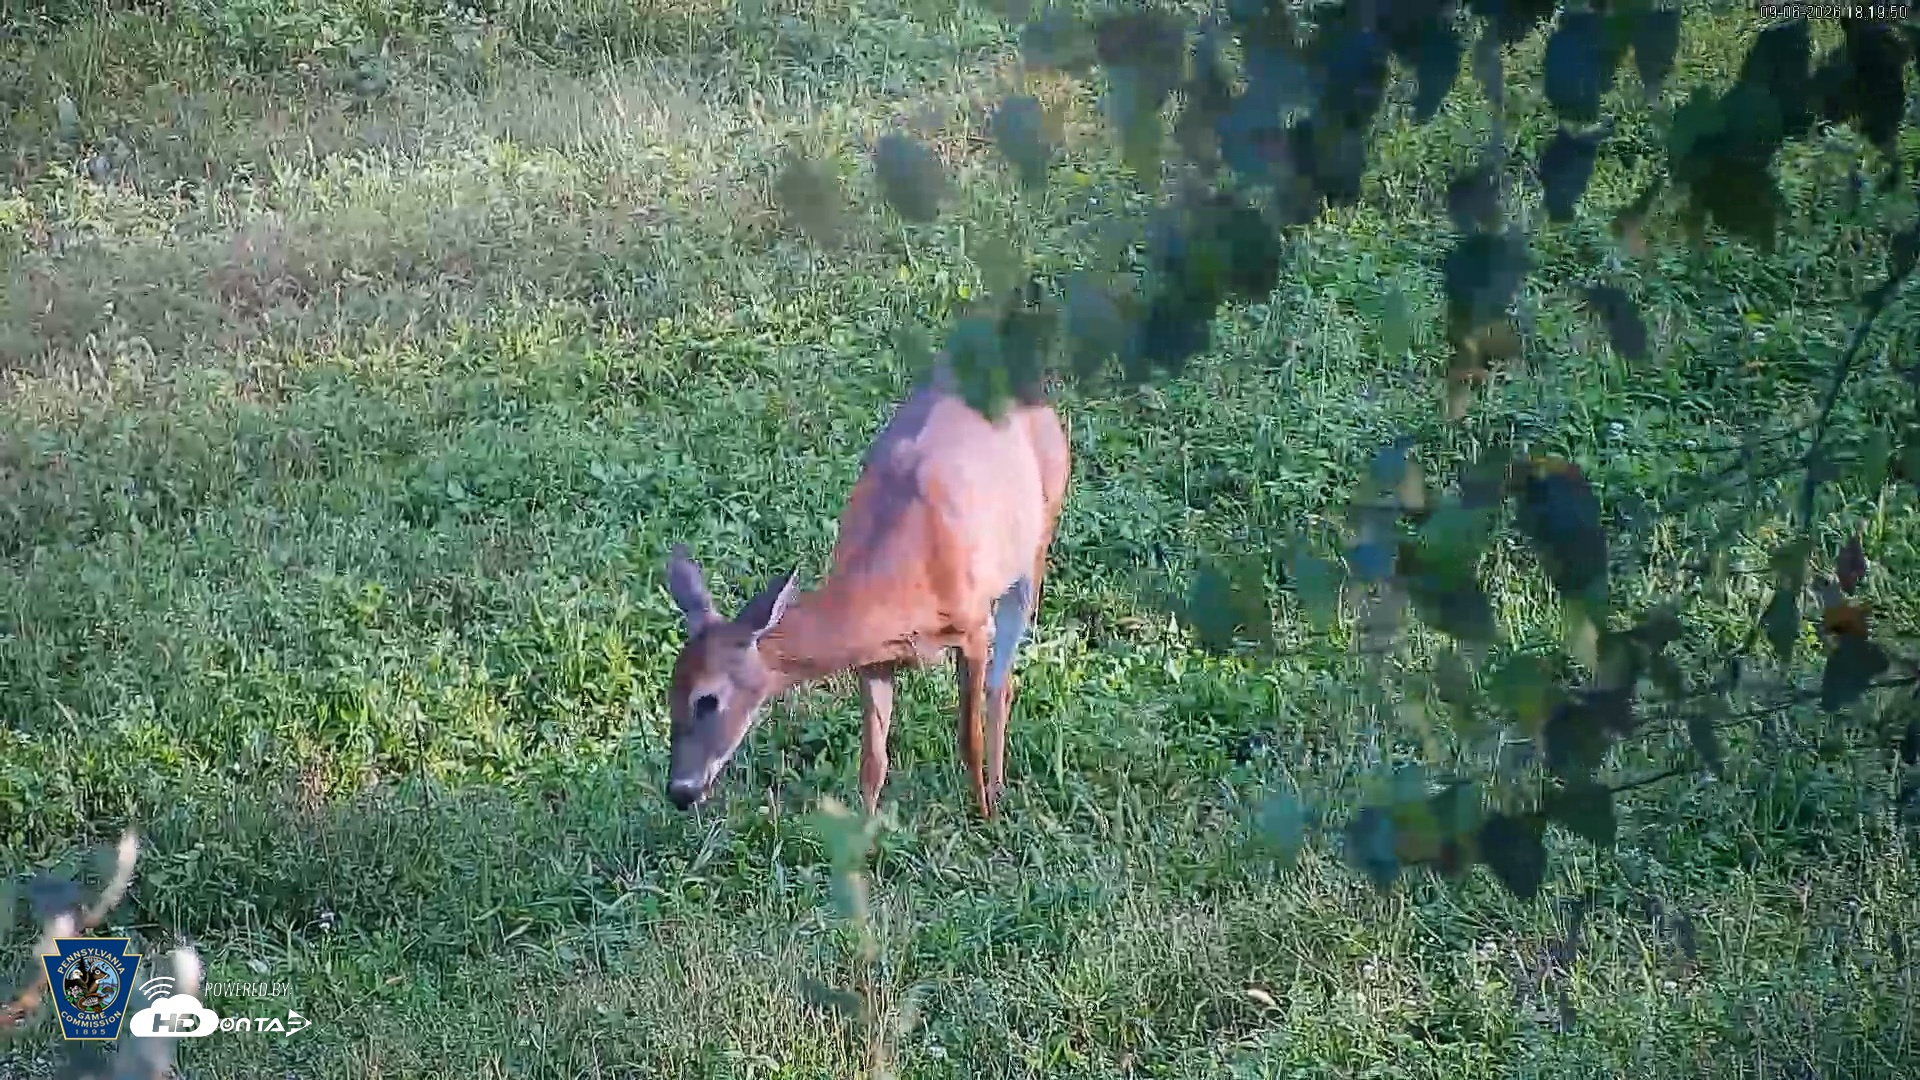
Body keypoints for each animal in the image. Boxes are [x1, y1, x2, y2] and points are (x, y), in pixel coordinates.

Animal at [660, 363, 1071, 820]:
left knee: (1003, 682)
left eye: (707, 700)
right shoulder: (874, 660)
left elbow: (969, 738)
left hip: (1037, 542)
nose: (679, 791)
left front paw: (982, 815)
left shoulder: (973, 628)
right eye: (669, 695)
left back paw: (998, 794)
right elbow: (873, 762)